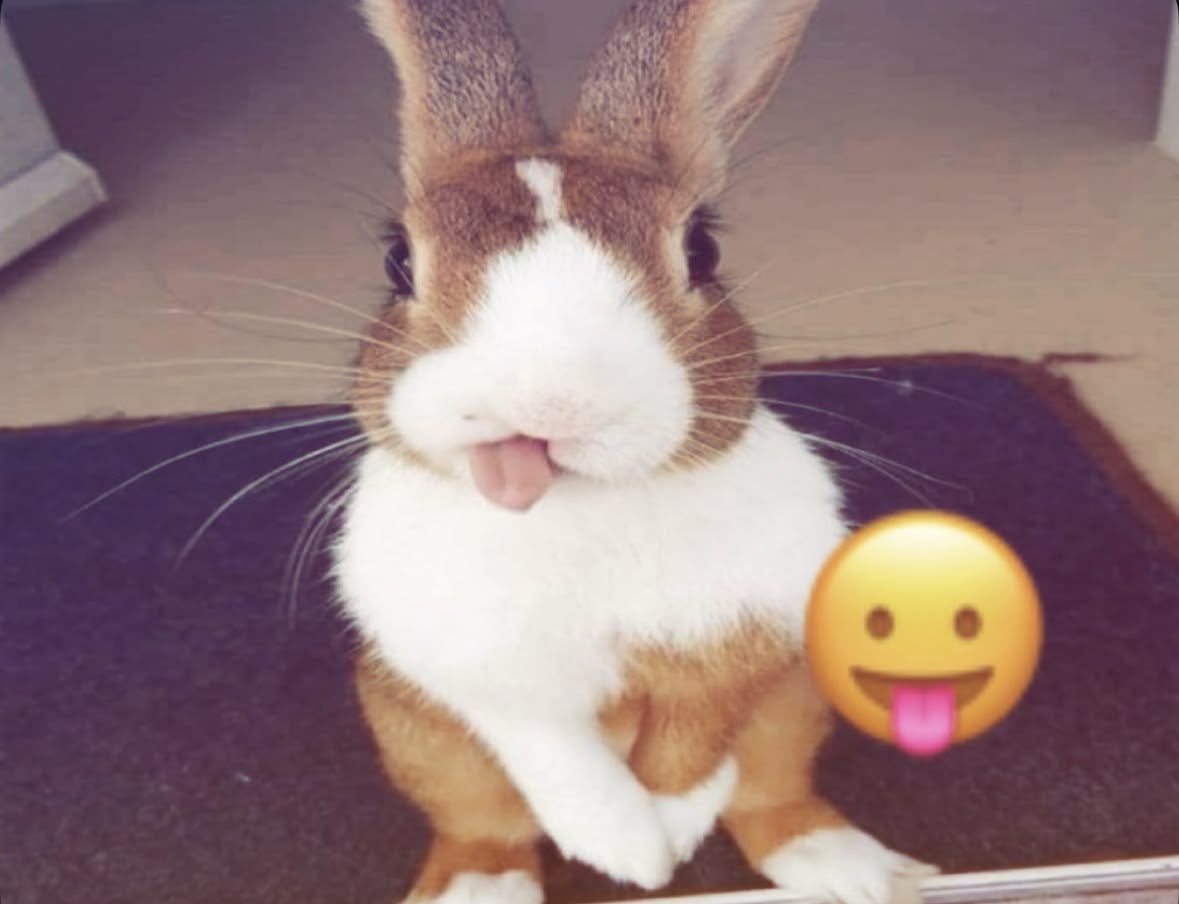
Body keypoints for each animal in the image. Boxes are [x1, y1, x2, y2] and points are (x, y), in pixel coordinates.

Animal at [333, 0, 936, 902]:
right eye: (397, 260)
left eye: (702, 251)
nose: (547, 402)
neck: (578, 504)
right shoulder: (472, 668)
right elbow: (555, 755)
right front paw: (620, 847)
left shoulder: (743, 642)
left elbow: (692, 747)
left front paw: (665, 839)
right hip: (414, 732)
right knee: (481, 825)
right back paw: (477, 885)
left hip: (796, 704)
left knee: (771, 794)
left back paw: (853, 870)